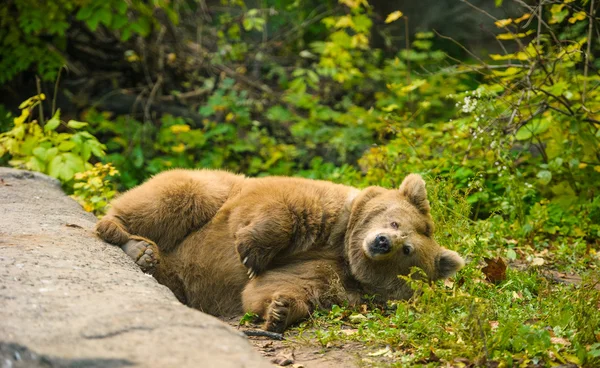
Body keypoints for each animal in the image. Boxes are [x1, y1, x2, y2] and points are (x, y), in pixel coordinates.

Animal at [97, 170, 464, 334]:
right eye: (393, 220)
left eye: (407, 249)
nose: (382, 242)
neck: (345, 250)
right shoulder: (324, 213)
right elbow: (279, 207)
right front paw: (251, 253)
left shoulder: (333, 277)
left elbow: (276, 287)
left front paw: (281, 310)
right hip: (207, 190)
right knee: (178, 196)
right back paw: (124, 235)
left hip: (182, 280)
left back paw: (147, 256)